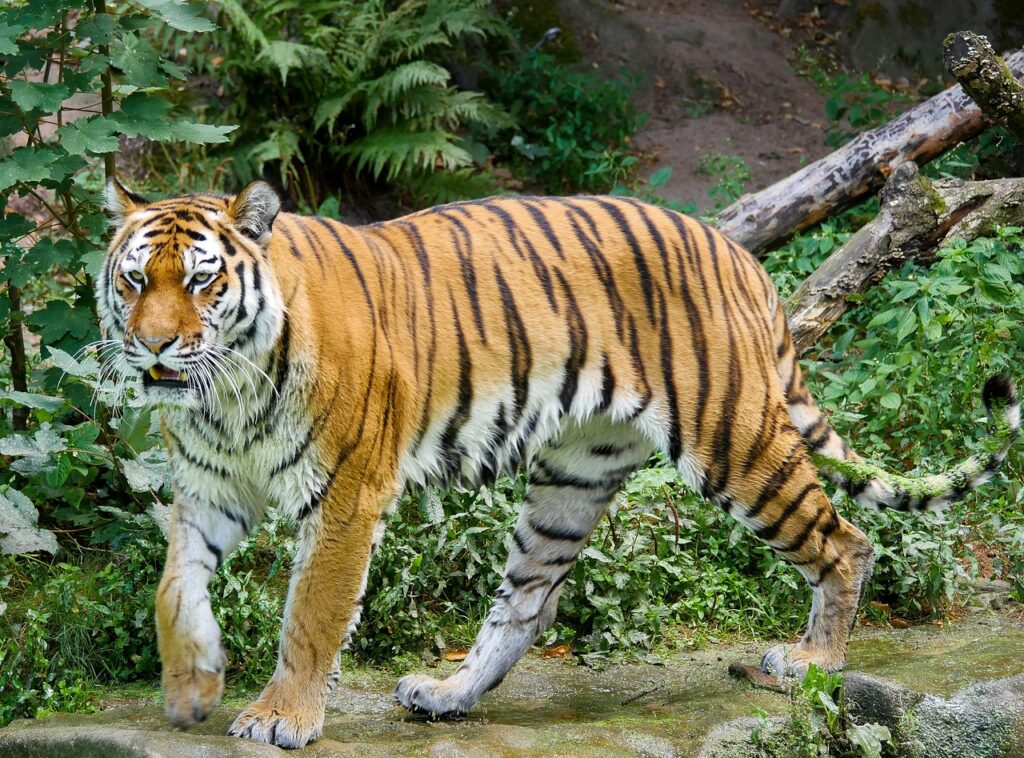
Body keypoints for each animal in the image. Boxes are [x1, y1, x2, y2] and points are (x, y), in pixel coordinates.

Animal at [97, 178, 1019, 749]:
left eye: (203, 283)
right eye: (137, 279)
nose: (155, 347)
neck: (225, 392)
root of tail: (740, 254)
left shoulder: (347, 496)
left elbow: (310, 616)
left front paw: (281, 717)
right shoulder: (209, 491)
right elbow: (172, 590)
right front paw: (191, 689)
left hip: (735, 442)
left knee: (846, 540)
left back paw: (813, 663)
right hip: (575, 474)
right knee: (528, 604)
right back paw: (448, 695)